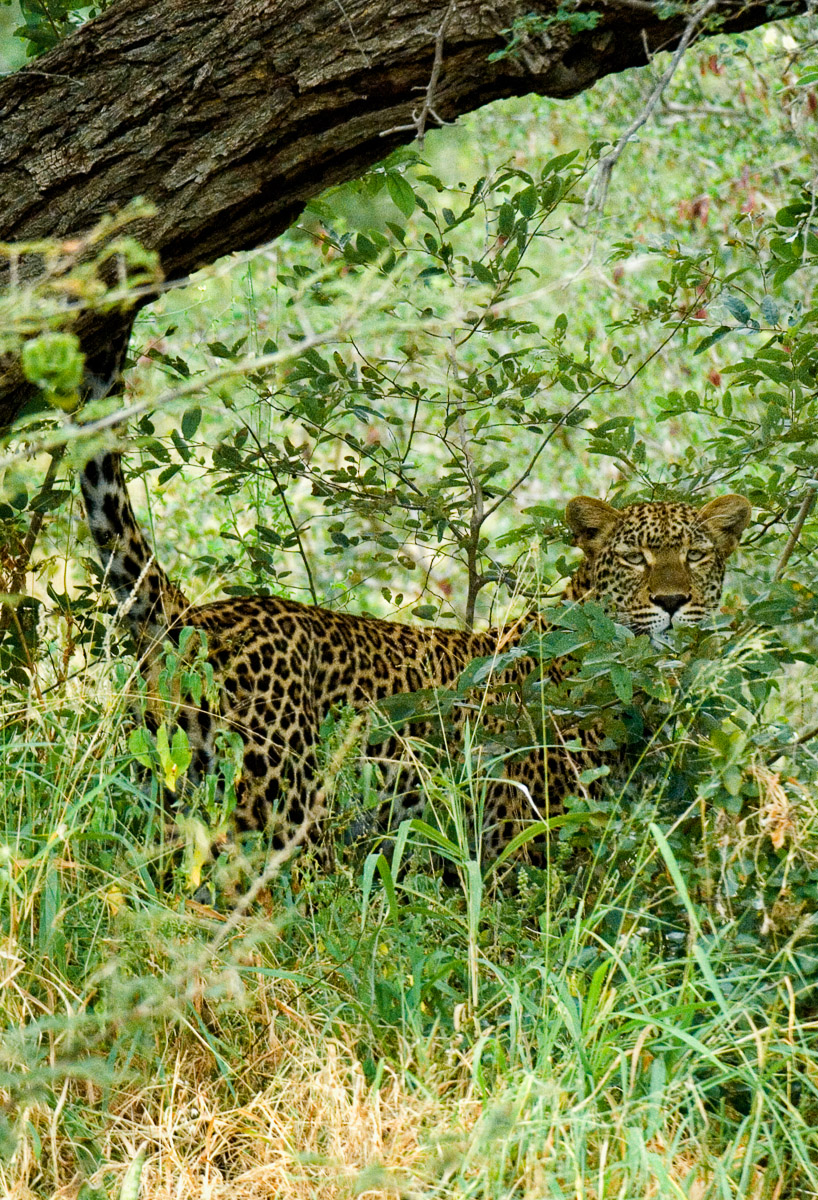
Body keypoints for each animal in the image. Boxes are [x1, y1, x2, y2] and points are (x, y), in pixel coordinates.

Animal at [81, 449, 751, 865]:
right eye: (635, 558)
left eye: (695, 555)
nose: (672, 602)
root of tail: (197, 615)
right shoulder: (521, 837)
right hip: (282, 803)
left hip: (163, 785)